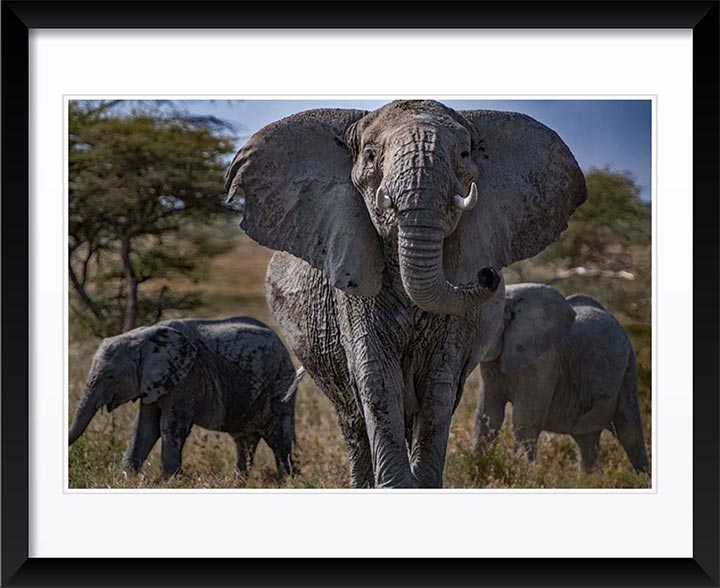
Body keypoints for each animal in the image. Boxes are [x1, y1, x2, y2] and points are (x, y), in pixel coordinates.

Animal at [68, 317, 305, 477]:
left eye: (110, 376)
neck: (144, 337)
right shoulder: (155, 381)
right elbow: (145, 427)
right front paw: (127, 477)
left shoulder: (187, 377)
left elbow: (169, 426)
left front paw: (168, 481)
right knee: (244, 442)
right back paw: (239, 482)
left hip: (280, 387)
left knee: (278, 440)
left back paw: (285, 481)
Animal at [225, 100, 587, 488]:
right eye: (370, 156)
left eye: (463, 153)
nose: (488, 274)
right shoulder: (353, 292)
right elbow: (377, 378)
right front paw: (397, 486)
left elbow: (439, 382)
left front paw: (421, 484)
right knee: (353, 420)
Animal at [473, 284, 649, 474]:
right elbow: (487, 418)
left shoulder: (543, 363)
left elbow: (523, 423)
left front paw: (522, 475)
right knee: (587, 441)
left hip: (628, 370)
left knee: (629, 431)